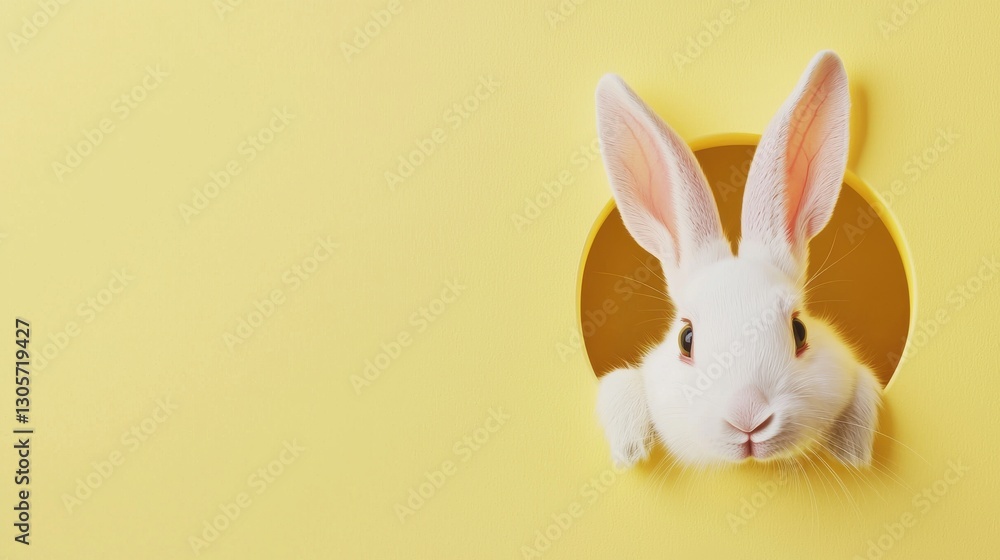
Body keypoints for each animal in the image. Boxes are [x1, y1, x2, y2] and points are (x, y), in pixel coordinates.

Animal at [594, 51, 881, 469]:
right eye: (686, 339)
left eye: (799, 331)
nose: (748, 418)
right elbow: (618, 387)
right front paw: (630, 450)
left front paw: (851, 451)